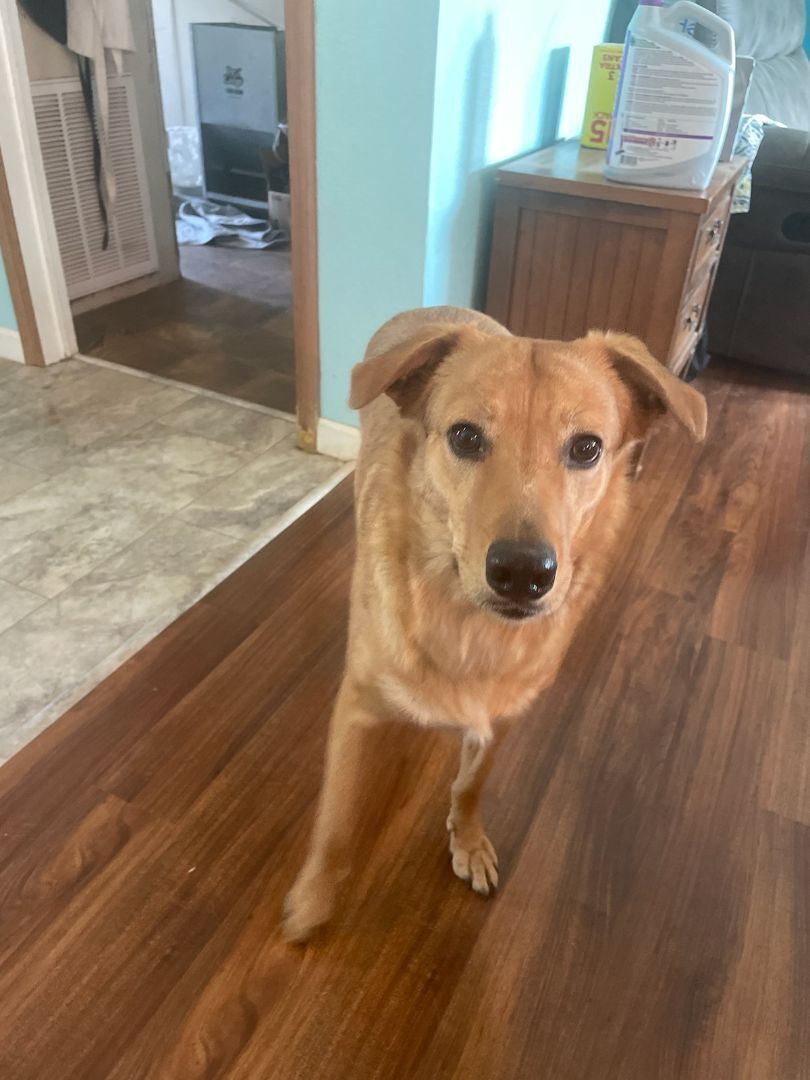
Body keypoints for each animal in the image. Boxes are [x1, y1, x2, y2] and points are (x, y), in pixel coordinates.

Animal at [282, 306, 704, 946]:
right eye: (465, 436)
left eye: (587, 448)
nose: (523, 573)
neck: (467, 628)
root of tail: (426, 312)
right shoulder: (355, 709)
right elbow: (335, 819)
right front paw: (313, 898)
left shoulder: (503, 713)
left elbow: (471, 784)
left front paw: (469, 838)